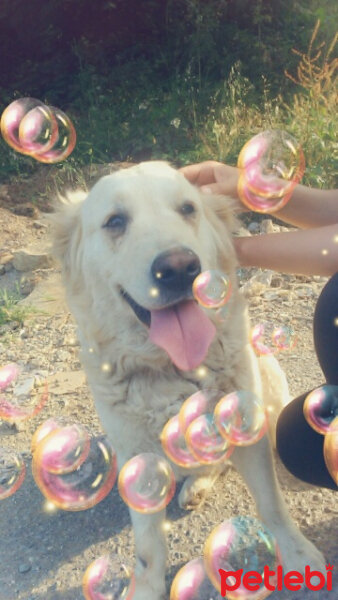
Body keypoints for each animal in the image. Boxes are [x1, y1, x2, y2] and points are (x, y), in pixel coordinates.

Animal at [50, 162, 324, 596]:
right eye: (115, 221)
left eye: (188, 209)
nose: (180, 267)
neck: (174, 368)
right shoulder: (137, 457)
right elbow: (147, 546)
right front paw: (146, 587)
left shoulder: (245, 423)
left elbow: (272, 505)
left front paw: (297, 554)